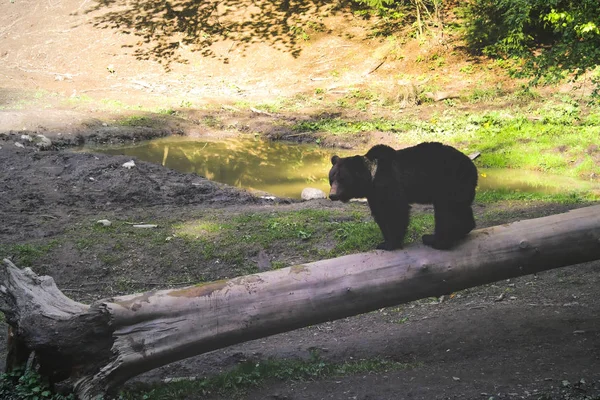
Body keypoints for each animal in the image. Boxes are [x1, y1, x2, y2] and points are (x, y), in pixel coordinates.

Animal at [328, 142, 478, 250]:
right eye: (331, 178)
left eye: (342, 179)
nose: (332, 195)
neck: (372, 179)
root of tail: (473, 167)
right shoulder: (375, 194)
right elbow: (380, 214)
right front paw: (385, 241)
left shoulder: (389, 183)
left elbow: (396, 210)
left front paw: (390, 244)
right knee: (460, 209)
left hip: (449, 183)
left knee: (446, 211)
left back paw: (435, 240)